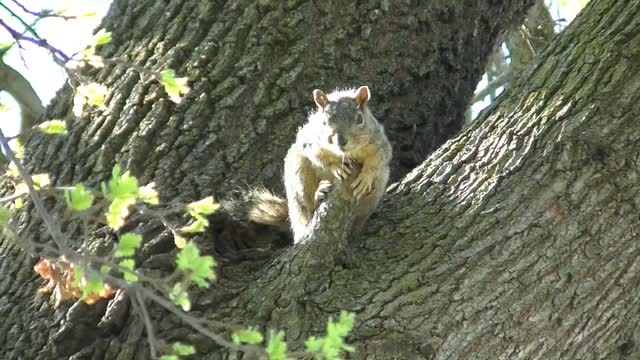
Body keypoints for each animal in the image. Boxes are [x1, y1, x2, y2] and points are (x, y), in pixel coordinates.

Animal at [228, 86, 392, 242]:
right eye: (324, 122)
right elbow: (318, 157)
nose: (341, 141)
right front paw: (336, 167)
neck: (347, 154)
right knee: (308, 209)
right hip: (299, 174)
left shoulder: (380, 142)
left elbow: (379, 159)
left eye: (359, 119)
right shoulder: (310, 141)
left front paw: (366, 177)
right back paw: (319, 195)